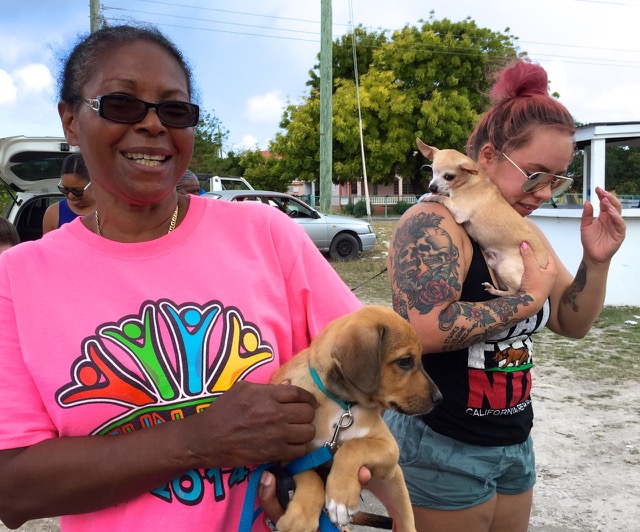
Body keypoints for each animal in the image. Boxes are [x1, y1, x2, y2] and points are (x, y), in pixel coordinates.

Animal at [268, 306, 440, 532]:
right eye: (404, 361)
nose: (439, 398)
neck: (343, 405)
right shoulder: (290, 458)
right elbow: (310, 477)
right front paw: (301, 517)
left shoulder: (390, 447)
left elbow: (353, 447)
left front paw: (340, 499)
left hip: (395, 483)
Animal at [418, 139, 548, 298]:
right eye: (432, 172)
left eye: (449, 176)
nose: (432, 187)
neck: (470, 180)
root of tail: (543, 263)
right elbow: (445, 195)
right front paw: (428, 194)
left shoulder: (459, 212)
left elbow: (443, 198)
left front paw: (429, 197)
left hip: (506, 267)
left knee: (513, 291)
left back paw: (494, 290)